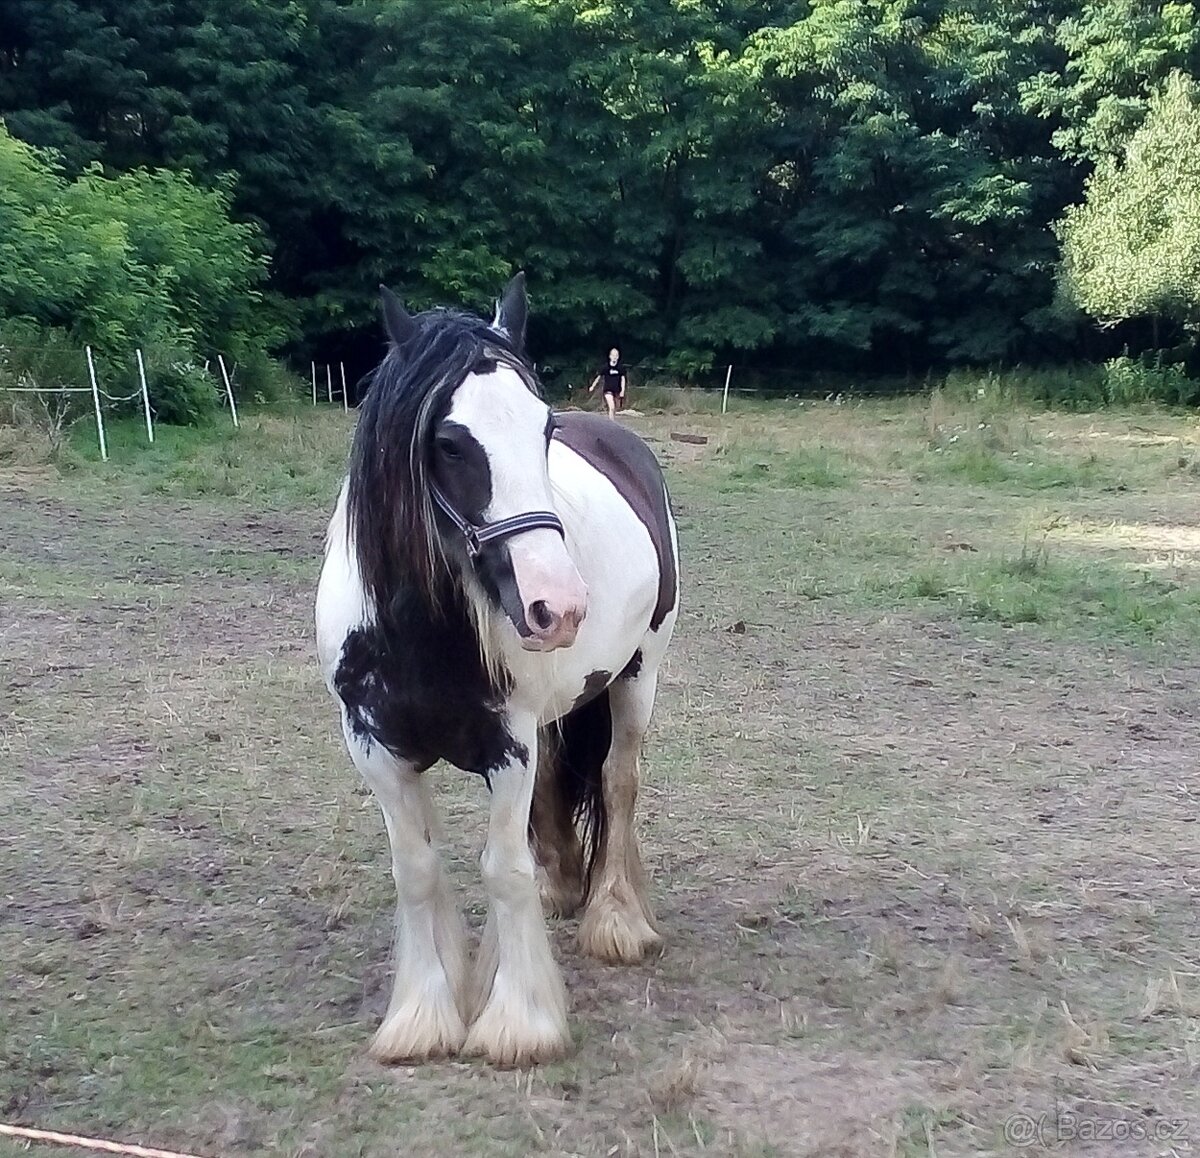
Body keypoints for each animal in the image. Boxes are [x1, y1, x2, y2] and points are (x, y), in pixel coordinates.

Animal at [314, 274, 680, 1067]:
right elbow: (417, 870)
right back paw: (562, 888)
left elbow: (502, 868)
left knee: (618, 783)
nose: (559, 606)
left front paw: (518, 1021)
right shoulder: (376, 750)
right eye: (450, 444)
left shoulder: (506, 748)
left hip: (638, 676)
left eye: (542, 430)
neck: (419, 630)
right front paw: (422, 1015)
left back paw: (615, 919)